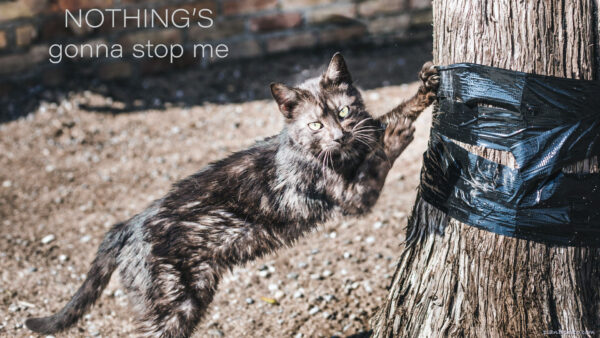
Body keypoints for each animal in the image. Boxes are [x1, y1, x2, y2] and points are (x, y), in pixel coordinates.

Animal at [25, 54, 438, 336]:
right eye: (315, 125)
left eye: (344, 111)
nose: (339, 136)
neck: (338, 153)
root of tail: (127, 225)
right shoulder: (353, 196)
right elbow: (379, 157)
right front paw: (396, 137)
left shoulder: (364, 132)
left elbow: (389, 116)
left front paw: (425, 90)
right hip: (174, 304)